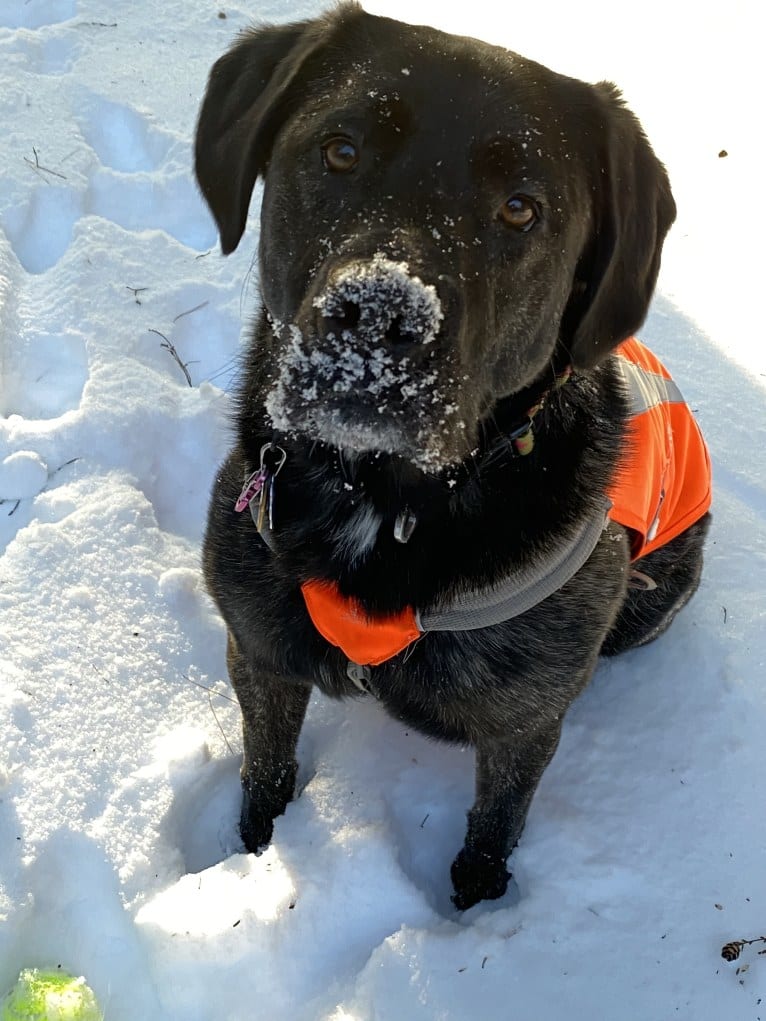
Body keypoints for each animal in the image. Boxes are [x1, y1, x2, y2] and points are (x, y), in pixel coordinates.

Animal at [195, 1, 710, 910]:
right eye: (340, 149)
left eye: (521, 208)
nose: (378, 314)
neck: (382, 499)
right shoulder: (257, 648)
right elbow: (266, 768)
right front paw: (253, 854)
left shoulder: (525, 720)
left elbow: (495, 823)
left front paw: (475, 907)